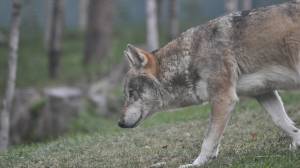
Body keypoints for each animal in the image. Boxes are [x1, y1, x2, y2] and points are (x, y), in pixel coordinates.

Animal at [118, 0, 300, 167]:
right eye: (127, 94)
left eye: (131, 93)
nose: (119, 123)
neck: (190, 57)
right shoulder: (263, 92)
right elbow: (283, 122)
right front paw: (297, 144)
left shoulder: (223, 99)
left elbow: (208, 140)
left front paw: (196, 163)